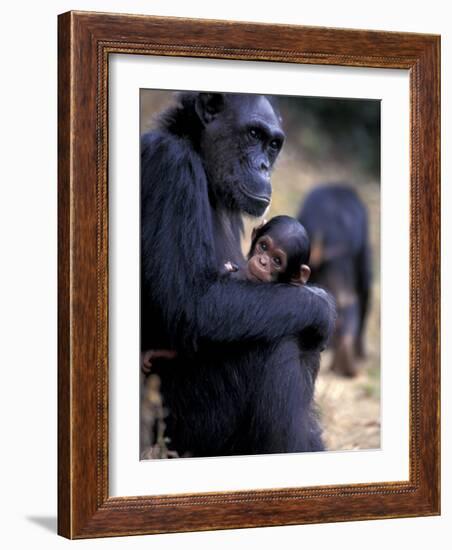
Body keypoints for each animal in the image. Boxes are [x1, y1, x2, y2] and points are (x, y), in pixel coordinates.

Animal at [141, 92, 336, 460]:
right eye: (253, 134)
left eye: (273, 144)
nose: (262, 165)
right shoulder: (171, 166)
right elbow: (193, 304)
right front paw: (323, 305)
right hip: (180, 429)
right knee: (277, 340)